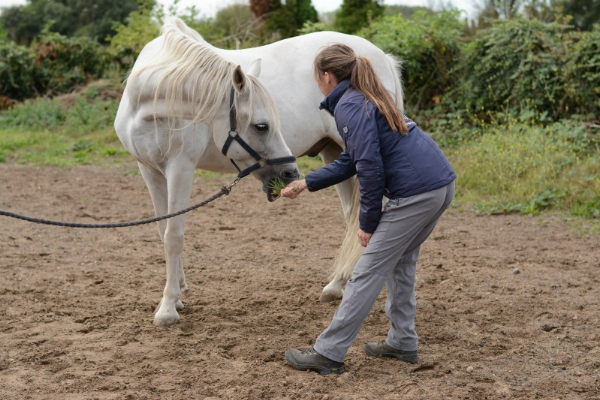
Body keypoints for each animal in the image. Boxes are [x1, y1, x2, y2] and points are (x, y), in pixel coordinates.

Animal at [113, 17, 404, 326]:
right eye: (261, 126)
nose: (290, 174)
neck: (146, 104)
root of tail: (380, 57)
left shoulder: (181, 168)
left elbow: (174, 236)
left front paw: (168, 307)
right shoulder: (149, 170)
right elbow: (163, 229)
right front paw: (178, 292)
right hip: (335, 153)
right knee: (353, 216)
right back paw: (337, 285)